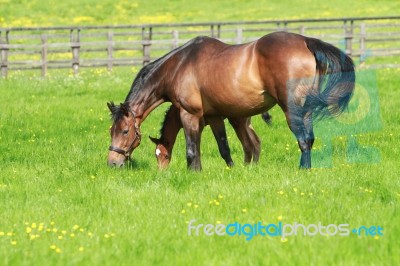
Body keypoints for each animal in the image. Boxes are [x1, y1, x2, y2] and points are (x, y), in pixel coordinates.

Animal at [108, 30, 354, 168]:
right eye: (111, 131)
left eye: (125, 131)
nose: (112, 163)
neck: (178, 66)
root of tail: (304, 41)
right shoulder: (215, 117)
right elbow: (224, 147)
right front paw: (231, 169)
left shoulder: (190, 116)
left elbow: (191, 151)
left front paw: (194, 173)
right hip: (305, 110)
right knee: (307, 139)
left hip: (292, 109)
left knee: (303, 140)